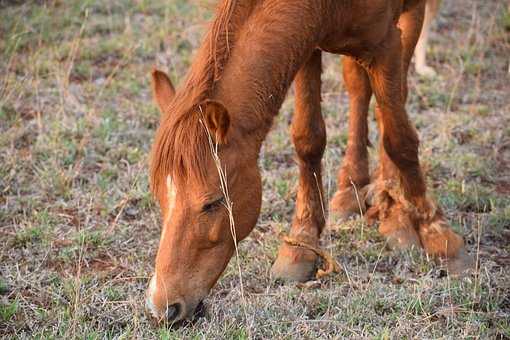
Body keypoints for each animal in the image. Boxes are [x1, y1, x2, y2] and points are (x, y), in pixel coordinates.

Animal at [142, 0, 470, 324]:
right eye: (161, 201)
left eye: (212, 202)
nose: (163, 307)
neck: (327, 7)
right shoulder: (307, 46)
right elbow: (308, 138)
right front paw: (301, 240)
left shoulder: (386, 45)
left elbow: (398, 137)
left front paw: (436, 231)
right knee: (358, 86)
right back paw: (351, 188)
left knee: (392, 98)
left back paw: (394, 210)